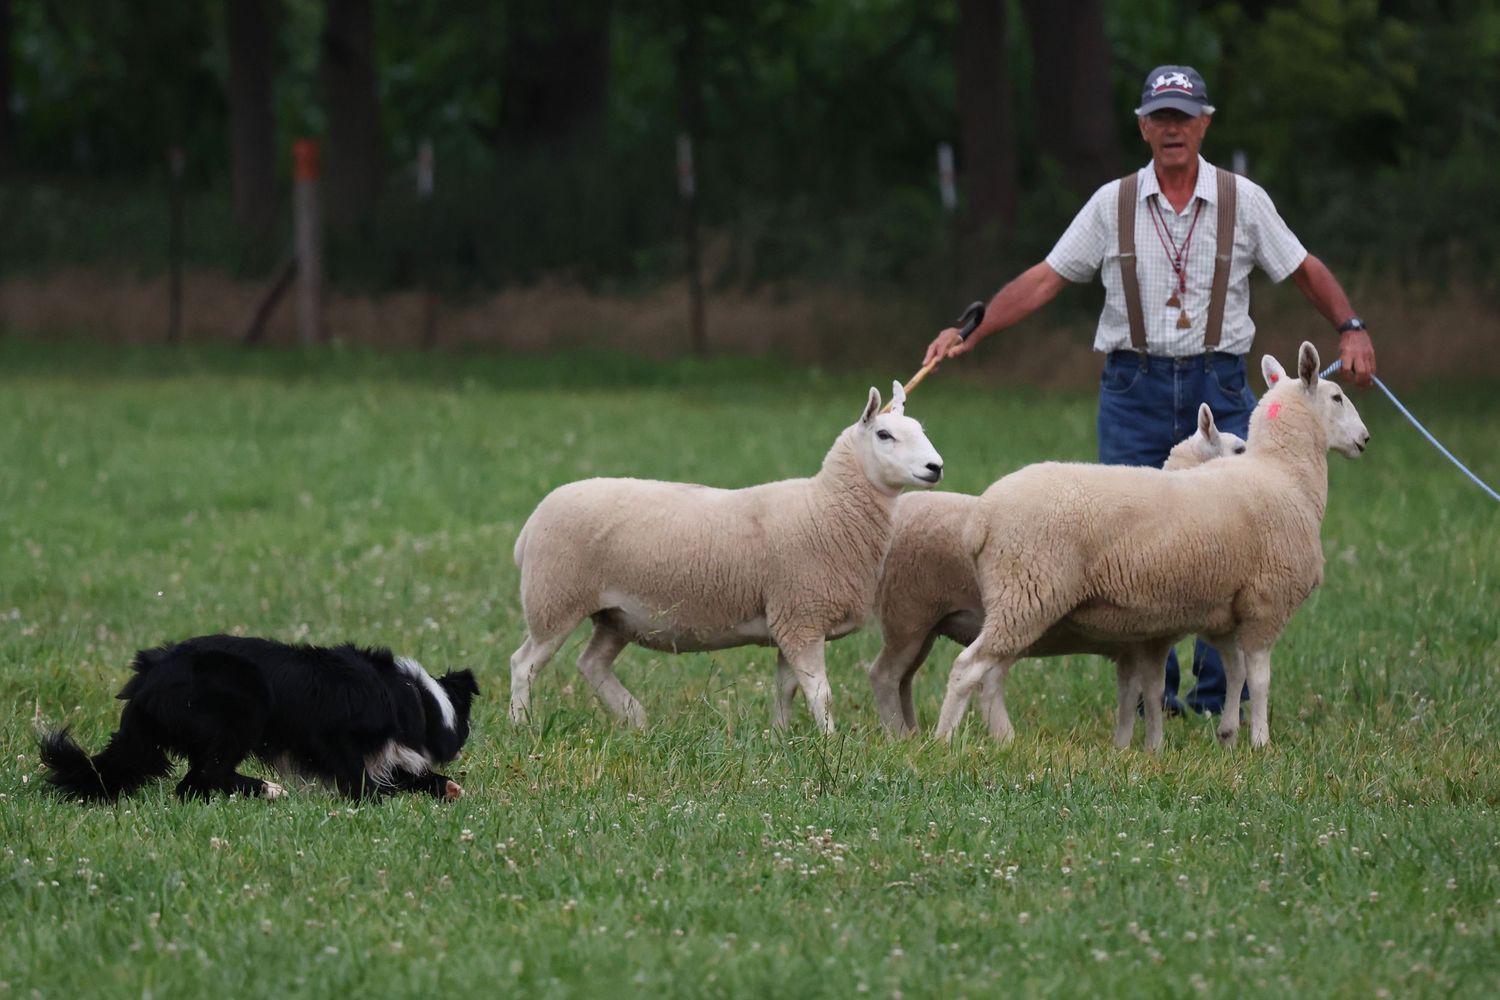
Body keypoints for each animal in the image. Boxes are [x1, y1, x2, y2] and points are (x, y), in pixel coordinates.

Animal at [508, 382, 945, 734]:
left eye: (923, 432)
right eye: (885, 434)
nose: (935, 467)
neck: (826, 507)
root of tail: (528, 527)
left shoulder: (789, 618)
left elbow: (786, 688)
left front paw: (781, 739)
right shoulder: (801, 616)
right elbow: (820, 692)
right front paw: (830, 743)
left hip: (616, 615)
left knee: (591, 663)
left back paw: (635, 718)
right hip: (555, 600)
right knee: (523, 663)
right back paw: (521, 727)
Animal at [868, 402, 1245, 748]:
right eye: (1239, 449)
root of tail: (980, 521)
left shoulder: (1134, 643)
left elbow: (1134, 694)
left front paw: (1126, 748)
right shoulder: (1151, 638)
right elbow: (1151, 693)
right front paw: (1152, 747)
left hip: (936, 623)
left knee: (912, 678)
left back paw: (925, 733)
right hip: (919, 613)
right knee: (894, 675)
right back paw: (923, 737)